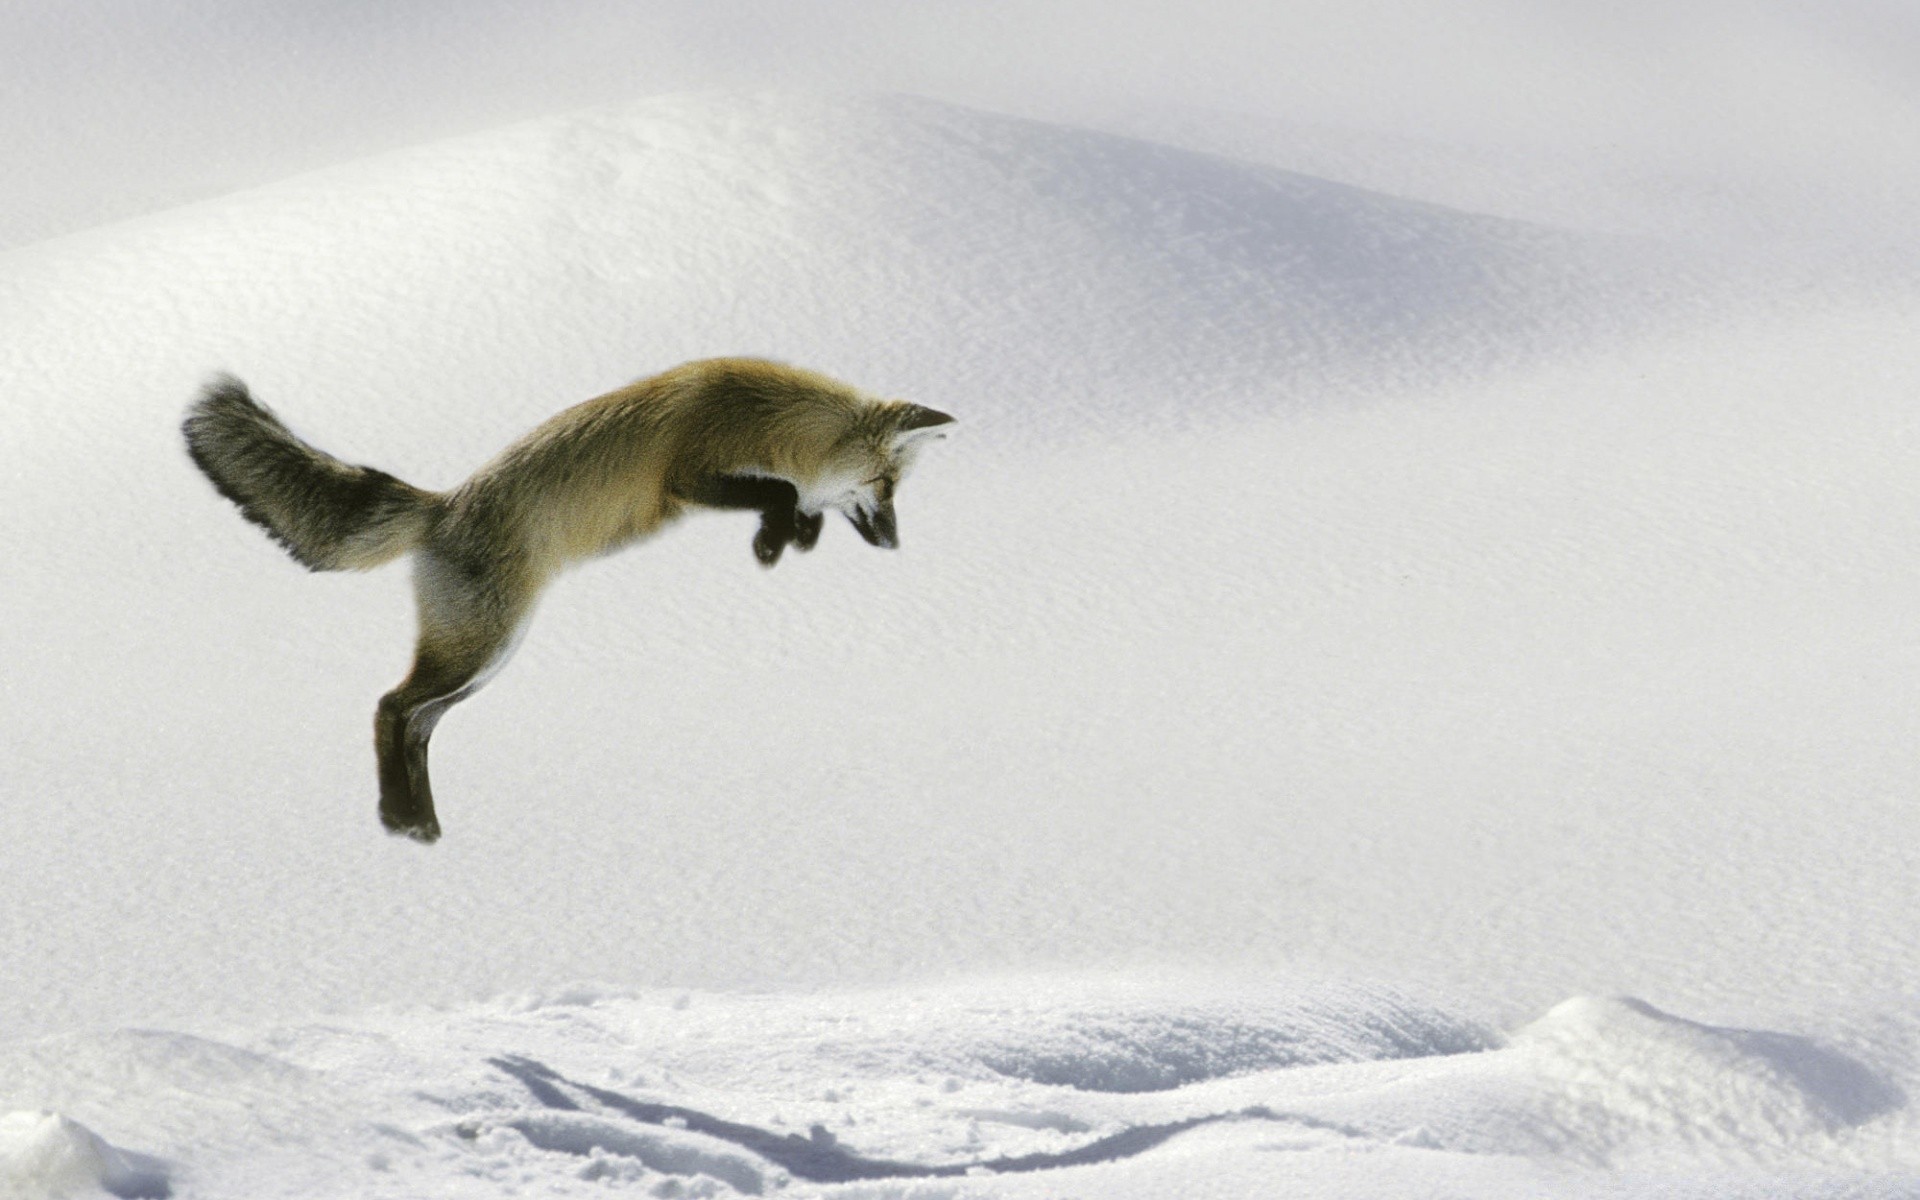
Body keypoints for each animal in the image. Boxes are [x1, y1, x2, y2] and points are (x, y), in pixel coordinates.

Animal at [187, 355, 952, 840]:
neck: (768, 417)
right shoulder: (685, 474)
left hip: (487, 658)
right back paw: (399, 819)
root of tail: (441, 507)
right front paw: (775, 539)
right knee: (390, 707)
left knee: (417, 724)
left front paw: (789, 539)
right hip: (480, 646)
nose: (894, 545)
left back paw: (421, 826)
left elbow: (796, 503)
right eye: (885, 485)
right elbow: (783, 491)